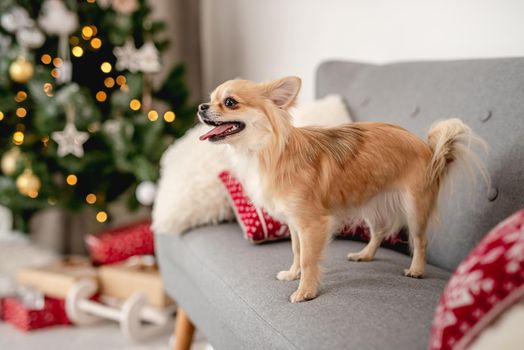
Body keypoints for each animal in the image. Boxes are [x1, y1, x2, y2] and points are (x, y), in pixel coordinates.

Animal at [198, 76, 488, 304]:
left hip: (415, 206)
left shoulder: (312, 223)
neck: (263, 151)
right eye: (211, 99)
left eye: (230, 102)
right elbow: (296, 251)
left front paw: (305, 291)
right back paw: (365, 255)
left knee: (420, 240)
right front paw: (293, 274)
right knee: (379, 231)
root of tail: (428, 148)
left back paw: (416, 269)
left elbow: (308, 258)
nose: (201, 106)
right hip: (370, 203)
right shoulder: (295, 223)